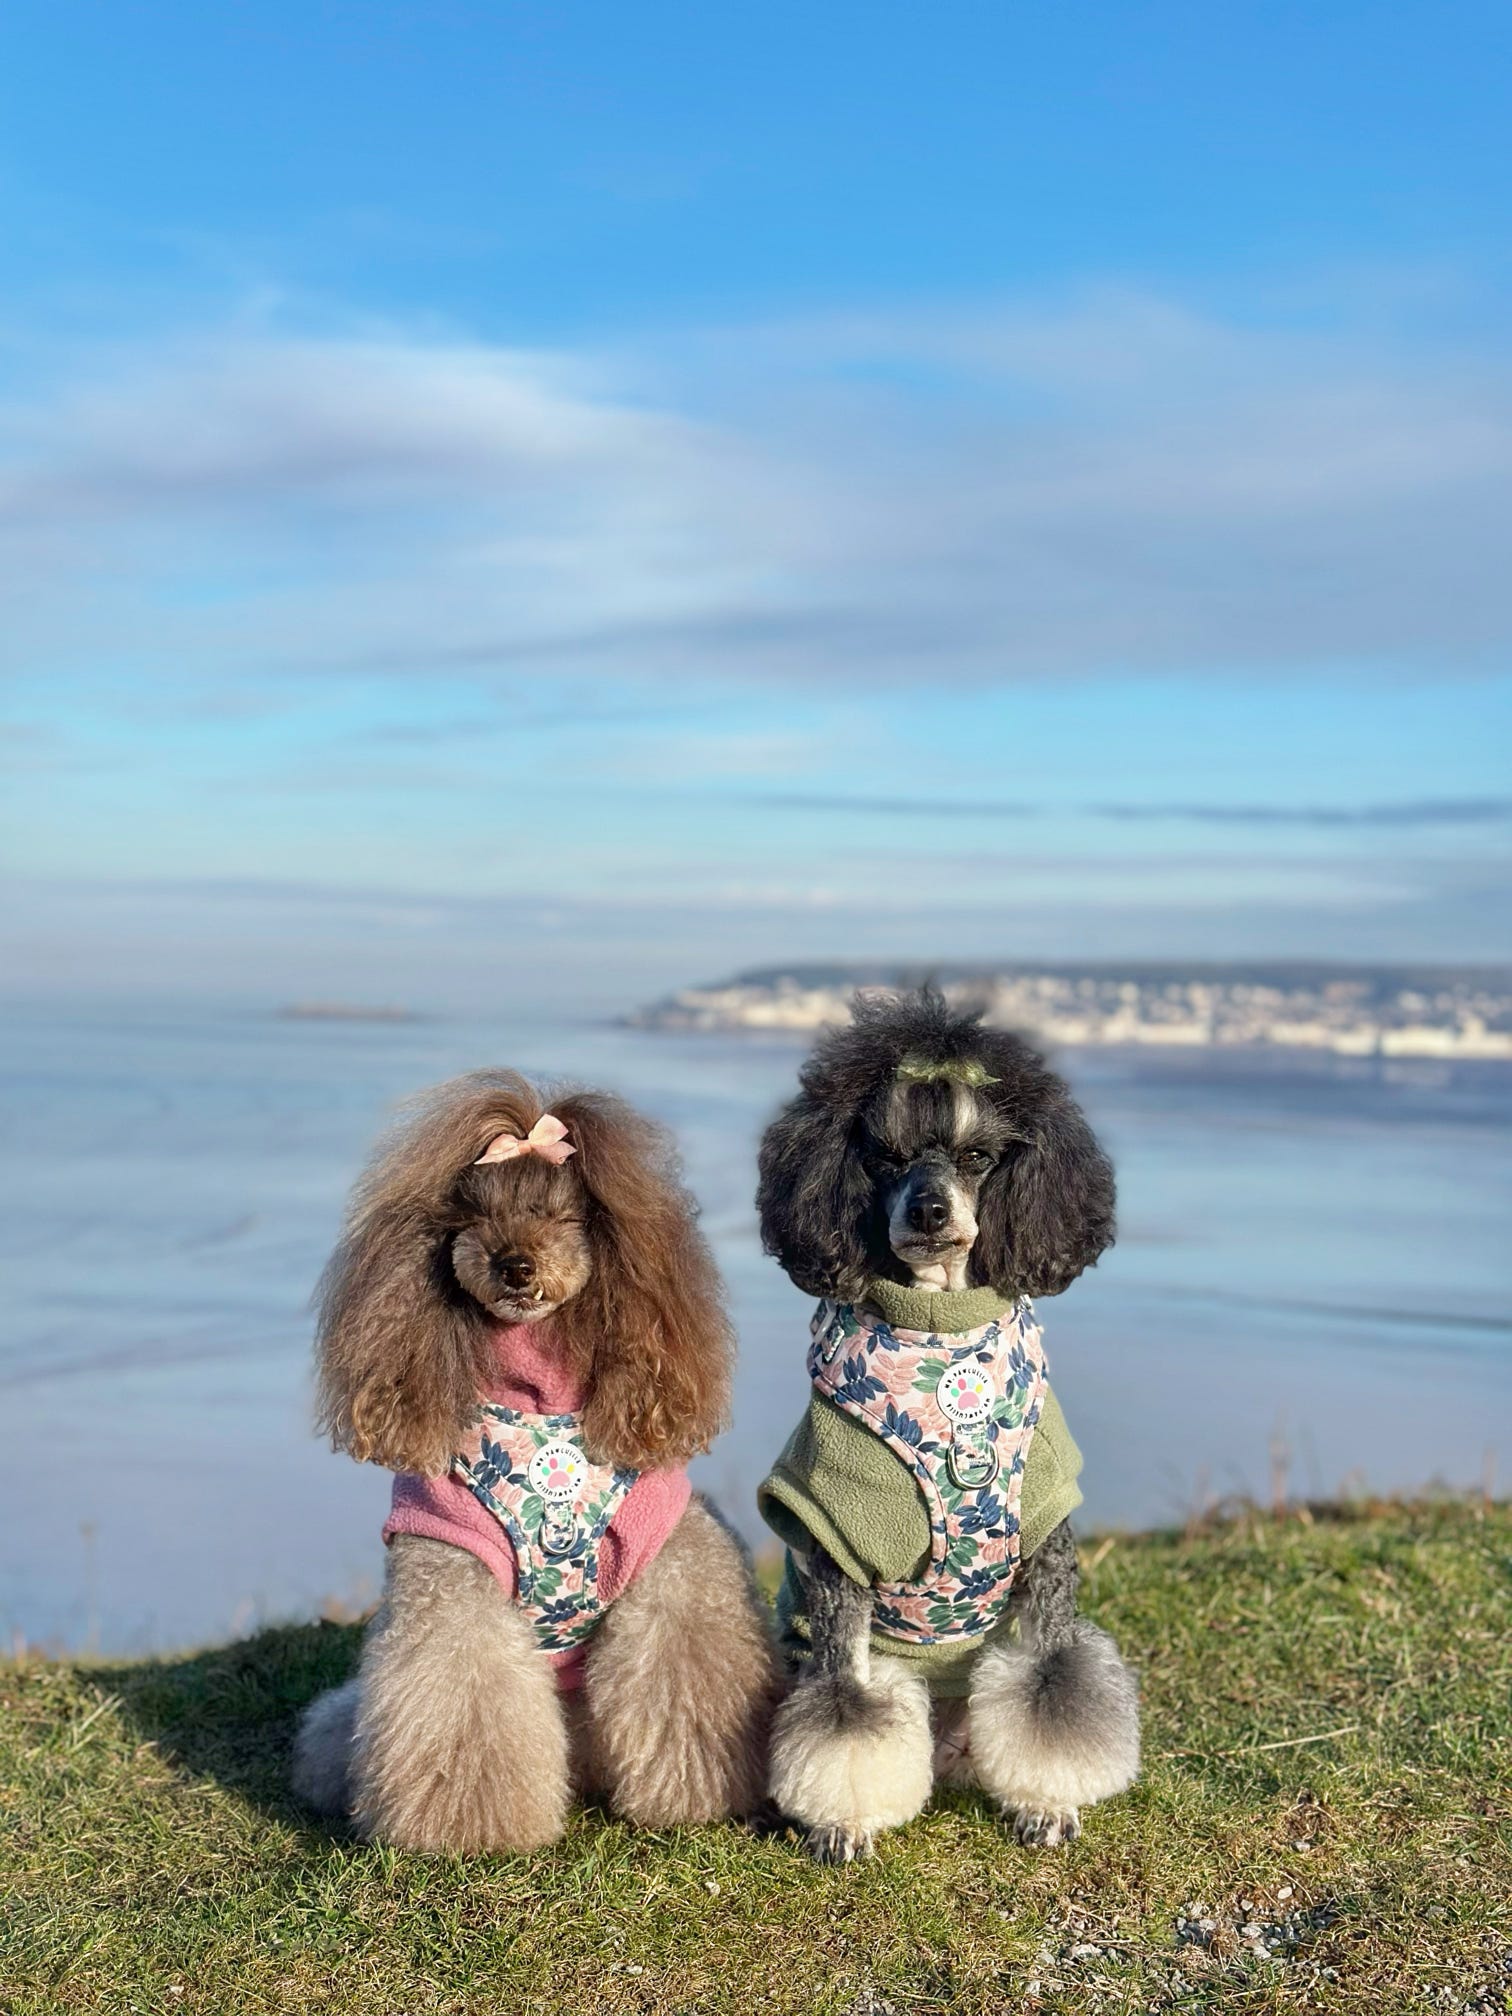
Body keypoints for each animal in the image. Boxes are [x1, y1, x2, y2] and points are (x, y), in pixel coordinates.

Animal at [291, 1070, 778, 1852]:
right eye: (473, 1215)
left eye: (562, 1216)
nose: (513, 1264)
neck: (541, 1404)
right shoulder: (450, 1574)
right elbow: (464, 1695)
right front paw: (470, 1830)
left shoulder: (674, 1567)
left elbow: (684, 1675)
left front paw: (700, 1797)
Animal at [754, 988, 1139, 1862]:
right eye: (884, 1157)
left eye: (979, 1157)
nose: (930, 1210)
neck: (940, 1342)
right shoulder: (836, 1548)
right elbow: (844, 1706)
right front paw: (842, 1820)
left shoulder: (1045, 1537)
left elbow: (1051, 1685)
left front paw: (1046, 1805)